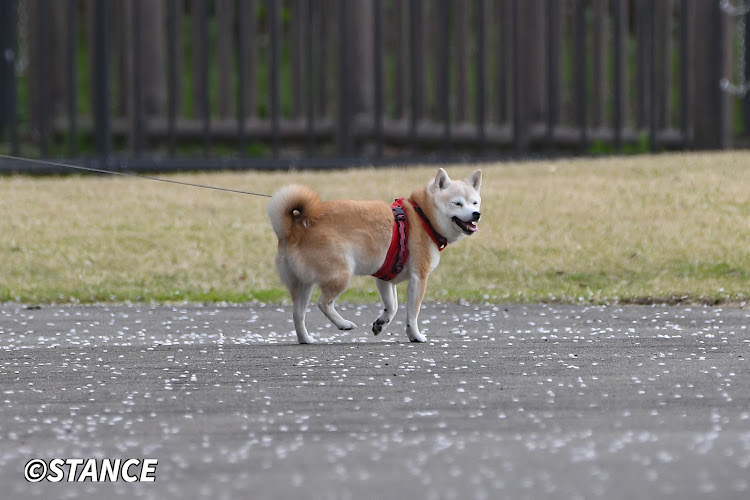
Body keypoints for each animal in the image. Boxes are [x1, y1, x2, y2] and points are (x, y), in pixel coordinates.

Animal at [268, 168, 484, 344]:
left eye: (475, 202)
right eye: (457, 203)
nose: (476, 214)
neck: (422, 216)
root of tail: (293, 228)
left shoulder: (385, 277)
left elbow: (392, 306)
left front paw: (381, 323)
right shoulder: (419, 277)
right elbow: (412, 314)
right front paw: (415, 335)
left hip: (303, 284)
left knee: (298, 315)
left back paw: (305, 339)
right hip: (342, 274)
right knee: (323, 304)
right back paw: (343, 324)